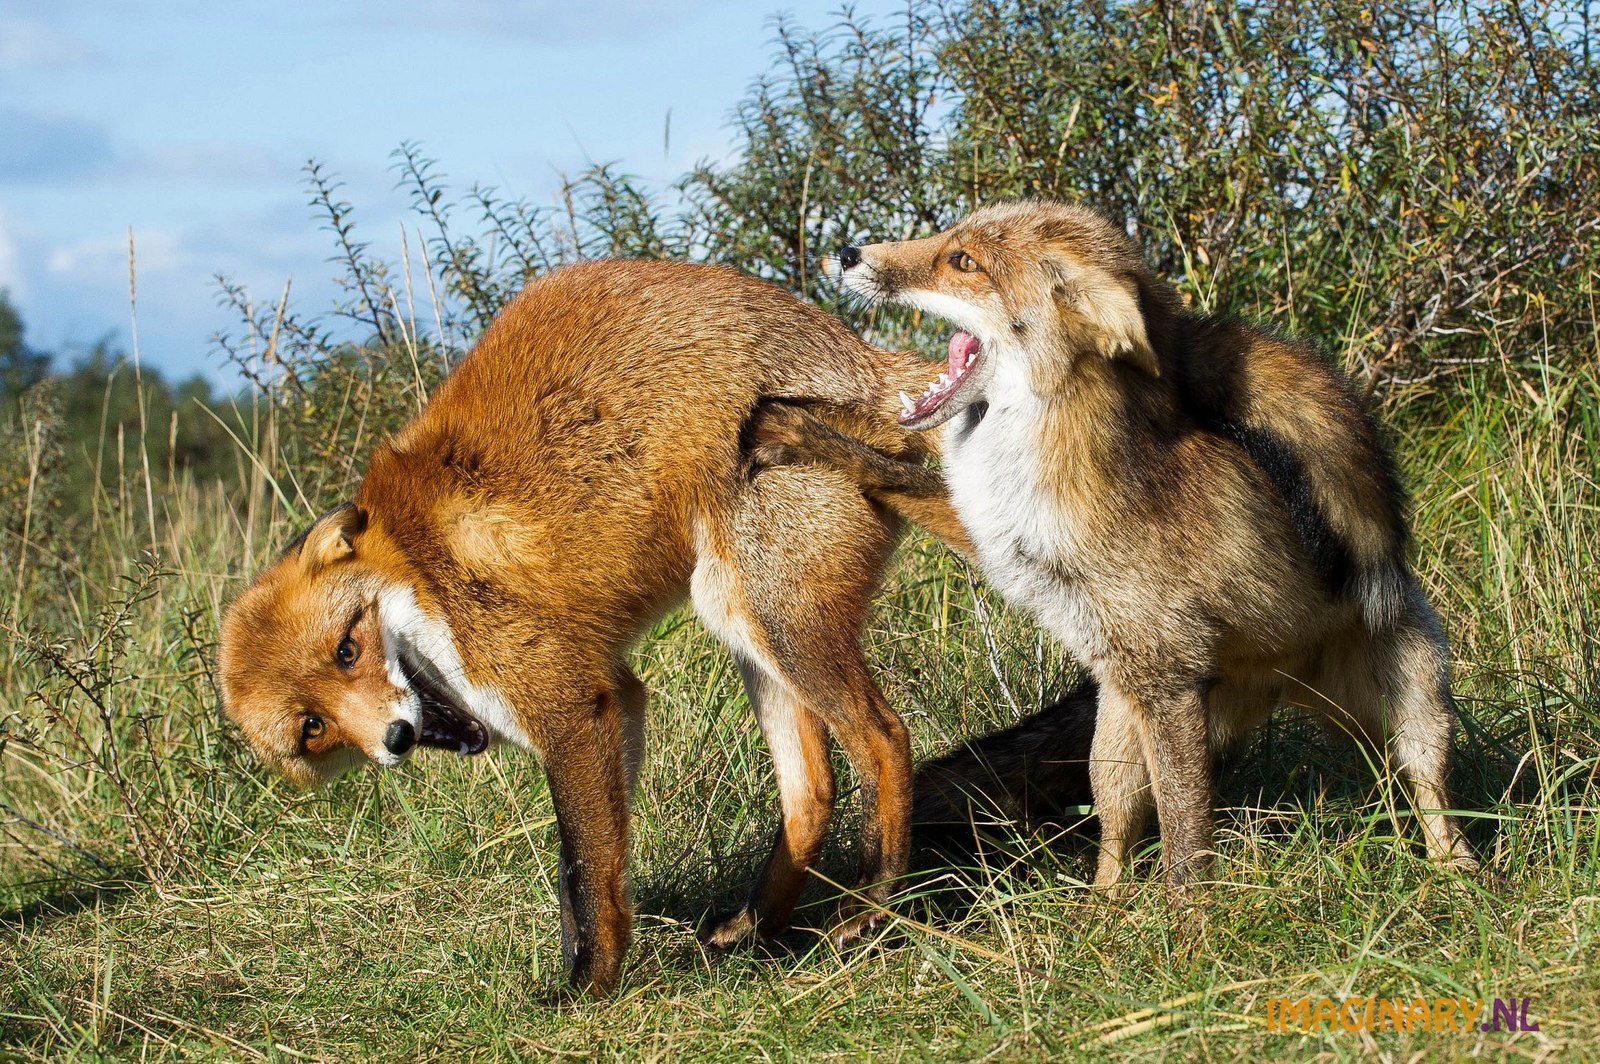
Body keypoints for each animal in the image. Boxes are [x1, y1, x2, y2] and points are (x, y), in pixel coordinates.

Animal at [212, 259, 966, 998]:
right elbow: (592, 874)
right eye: (313, 729)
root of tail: (857, 356)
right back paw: (755, 931)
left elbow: (582, 870)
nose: (395, 738)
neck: (417, 565)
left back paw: (871, 905)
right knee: (810, 794)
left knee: (885, 740)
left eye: (347, 648)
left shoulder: (571, 705)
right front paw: (595, 967)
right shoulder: (617, 700)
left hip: (769, 615)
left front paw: (588, 987)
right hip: (744, 626)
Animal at [748, 199, 1472, 889]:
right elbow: (892, 472)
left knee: (1431, 800)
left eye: (963, 261)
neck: (1025, 475)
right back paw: (1102, 912)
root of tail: (1279, 676)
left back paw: (1461, 878)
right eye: (950, 240)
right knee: (1116, 833)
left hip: (1414, 717)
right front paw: (807, 433)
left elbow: (1186, 846)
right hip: (1118, 740)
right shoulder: (992, 541)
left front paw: (1192, 928)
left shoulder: (1168, 679)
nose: (847, 253)